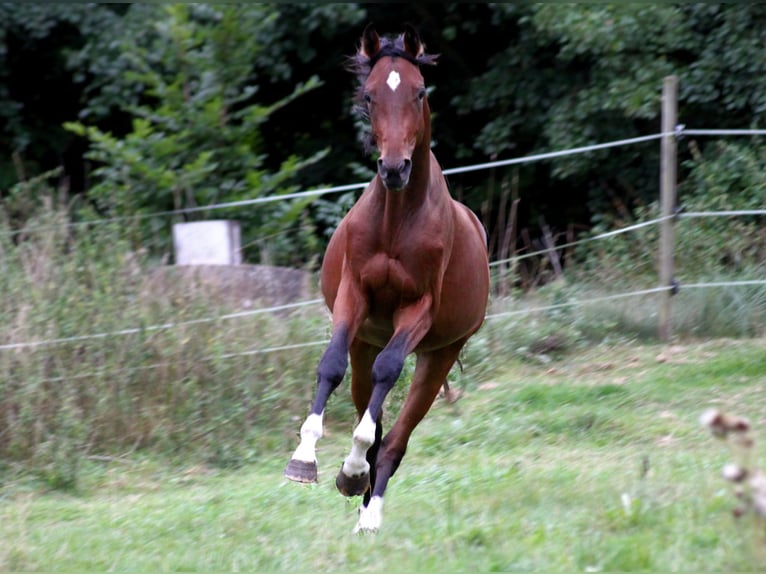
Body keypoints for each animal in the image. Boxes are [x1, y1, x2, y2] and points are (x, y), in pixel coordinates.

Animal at [284, 22, 488, 536]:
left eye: (419, 92)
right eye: (370, 95)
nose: (395, 168)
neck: (397, 218)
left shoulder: (418, 309)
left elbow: (389, 372)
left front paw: (352, 470)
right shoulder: (353, 295)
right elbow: (329, 365)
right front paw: (304, 459)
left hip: (439, 356)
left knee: (394, 438)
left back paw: (368, 512)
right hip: (366, 340)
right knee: (370, 409)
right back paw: (355, 486)